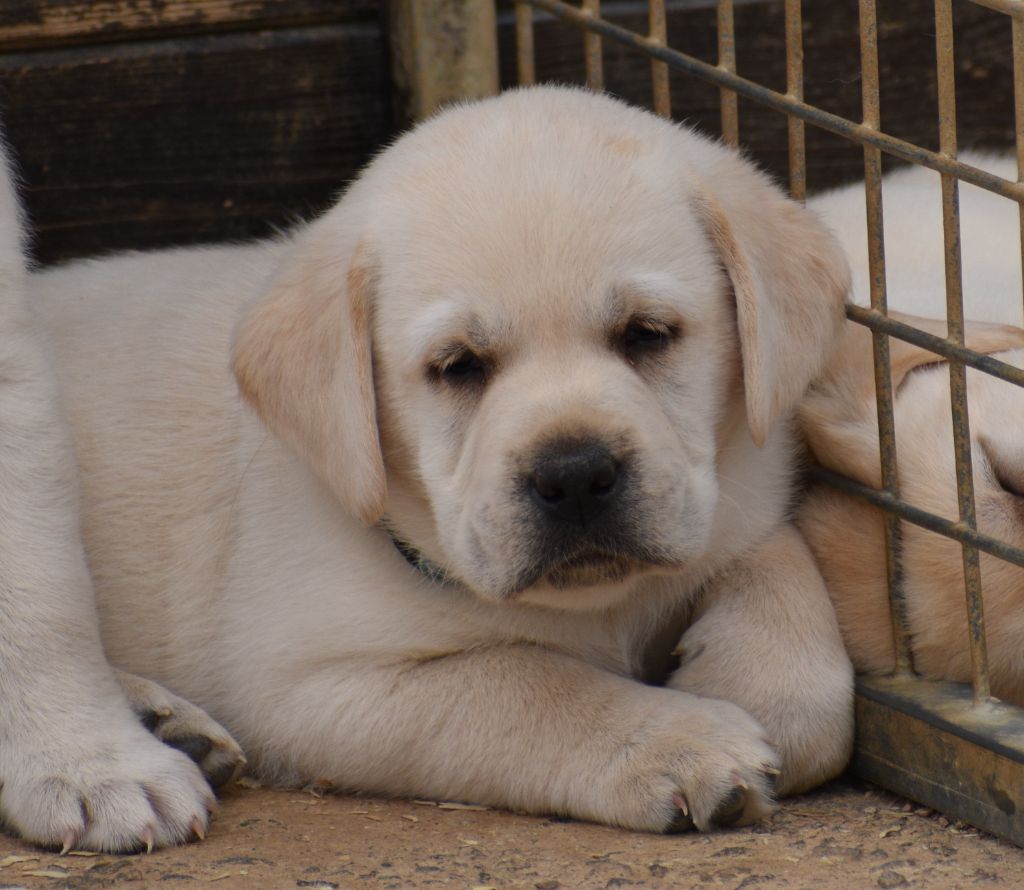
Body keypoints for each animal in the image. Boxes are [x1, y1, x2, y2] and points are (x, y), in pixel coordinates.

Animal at [1, 86, 854, 851]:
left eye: (648, 334)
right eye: (457, 366)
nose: (575, 475)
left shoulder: (738, 492)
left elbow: (789, 605)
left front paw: (754, 678)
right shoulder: (315, 685)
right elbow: (526, 684)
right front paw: (677, 741)